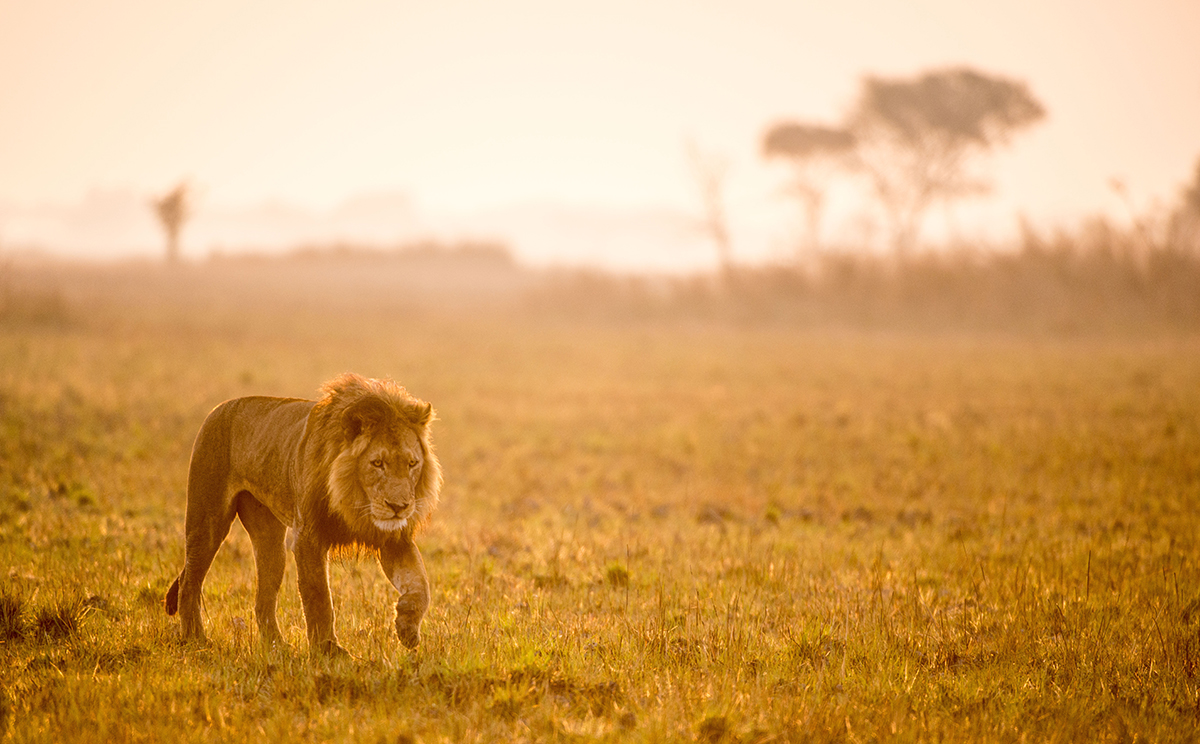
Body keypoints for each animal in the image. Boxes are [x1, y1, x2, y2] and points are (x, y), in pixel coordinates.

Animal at [162, 374, 439, 652]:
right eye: (377, 463)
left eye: (412, 463)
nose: (398, 507)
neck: (354, 501)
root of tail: (219, 408)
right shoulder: (308, 537)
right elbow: (319, 597)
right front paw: (328, 650)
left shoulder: (395, 539)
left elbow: (421, 584)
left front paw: (406, 625)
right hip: (208, 520)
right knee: (190, 582)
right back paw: (196, 639)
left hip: (270, 540)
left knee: (263, 599)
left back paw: (277, 645)